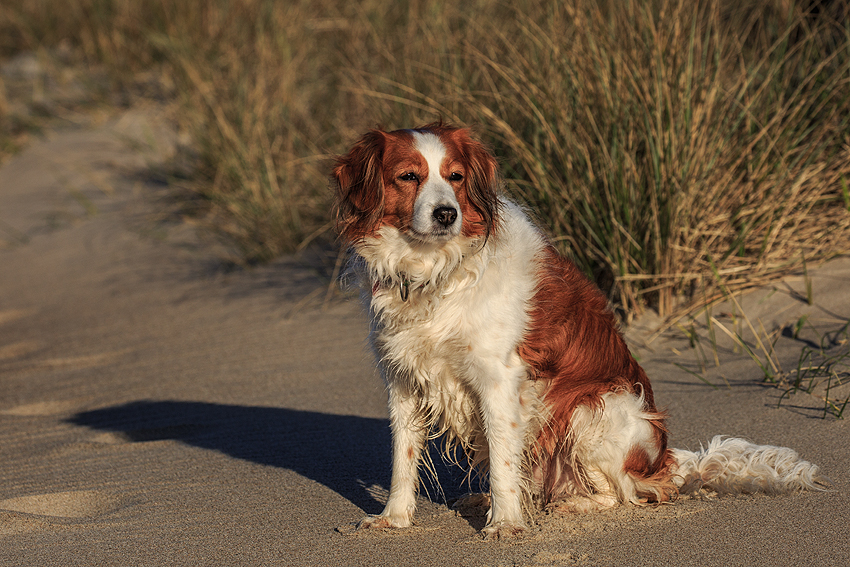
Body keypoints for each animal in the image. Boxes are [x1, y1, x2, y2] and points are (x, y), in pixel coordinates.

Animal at [332, 122, 828, 540]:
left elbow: (505, 458)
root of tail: (665, 461)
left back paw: (573, 505)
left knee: (626, 494)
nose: (445, 214)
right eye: (408, 176)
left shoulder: (499, 379)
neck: (432, 272)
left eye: (454, 176)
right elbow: (403, 458)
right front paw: (394, 518)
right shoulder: (402, 378)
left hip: (593, 409)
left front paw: (506, 525)